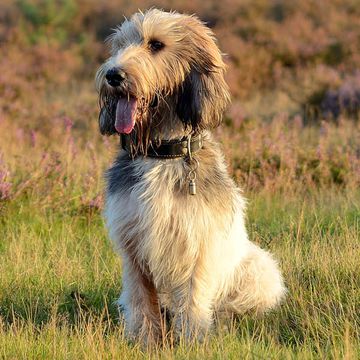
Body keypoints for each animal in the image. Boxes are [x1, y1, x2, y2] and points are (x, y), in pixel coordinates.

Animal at [95, 8, 286, 344]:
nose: (113, 75)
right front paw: (145, 342)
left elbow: (194, 296)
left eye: (156, 45)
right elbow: (142, 300)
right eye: (120, 45)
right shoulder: (132, 246)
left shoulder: (198, 241)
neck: (161, 152)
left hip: (260, 269)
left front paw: (192, 341)